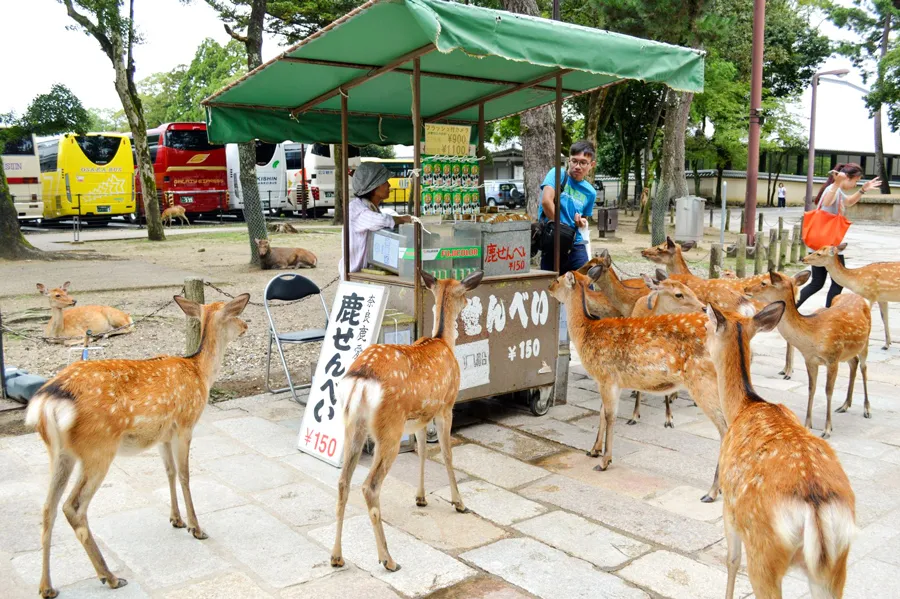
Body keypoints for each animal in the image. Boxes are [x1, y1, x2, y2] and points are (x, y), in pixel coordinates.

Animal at [25, 292, 250, 596]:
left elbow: (168, 472)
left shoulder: (163, 435)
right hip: (98, 449)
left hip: (59, 452)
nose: (246, 326)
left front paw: (176, 519)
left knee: (48, 507)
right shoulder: (186, 424)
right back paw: (109, 576)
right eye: (235, 314)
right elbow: (185, 475)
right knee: (73, 507)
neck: (200, 373)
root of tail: (47, 401)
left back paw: (47, 587)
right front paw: (196, 528)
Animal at [332, 270, 486, 572]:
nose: (470, 303)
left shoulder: (420, 418)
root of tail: (360, 380)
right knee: (369, 486)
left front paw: (421, 497)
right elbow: (447, 454)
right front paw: (459, 503)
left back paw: (336, 557)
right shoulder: (446, 405)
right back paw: (388, 559)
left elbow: (423, 452)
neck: (443, 341)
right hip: (388, 429)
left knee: (343, 482)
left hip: (352, 426)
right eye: (463, 292)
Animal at [544, 270, 728, 502]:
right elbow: (602, 412)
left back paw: (712, 492)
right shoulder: (609, 381)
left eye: (558, 279)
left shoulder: (607, 376)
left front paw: (604, 461)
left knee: (724, 428)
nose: (549, 286)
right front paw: (593, 450)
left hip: (703, 382)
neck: (586, 332)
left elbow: (610, 416)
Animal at [704, 302, 856, 599]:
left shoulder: (729, 507)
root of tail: (815, 507)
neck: (742, 405)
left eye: (707, 328)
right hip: (835, 564)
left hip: (763, 553)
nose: (703, 346)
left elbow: (731, 560)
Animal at [744, 270, 872, 436]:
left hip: (865, 342)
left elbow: (828, 391)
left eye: (764, 283)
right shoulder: (810, 359)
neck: (812, 334)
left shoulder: (832, 358)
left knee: (864, 367)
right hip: (847, 353)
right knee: (854, 362)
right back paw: (845, 405)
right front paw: (807, 425)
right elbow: (811, 389)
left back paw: (867, 409)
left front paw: (827, 429)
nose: (745, 288)